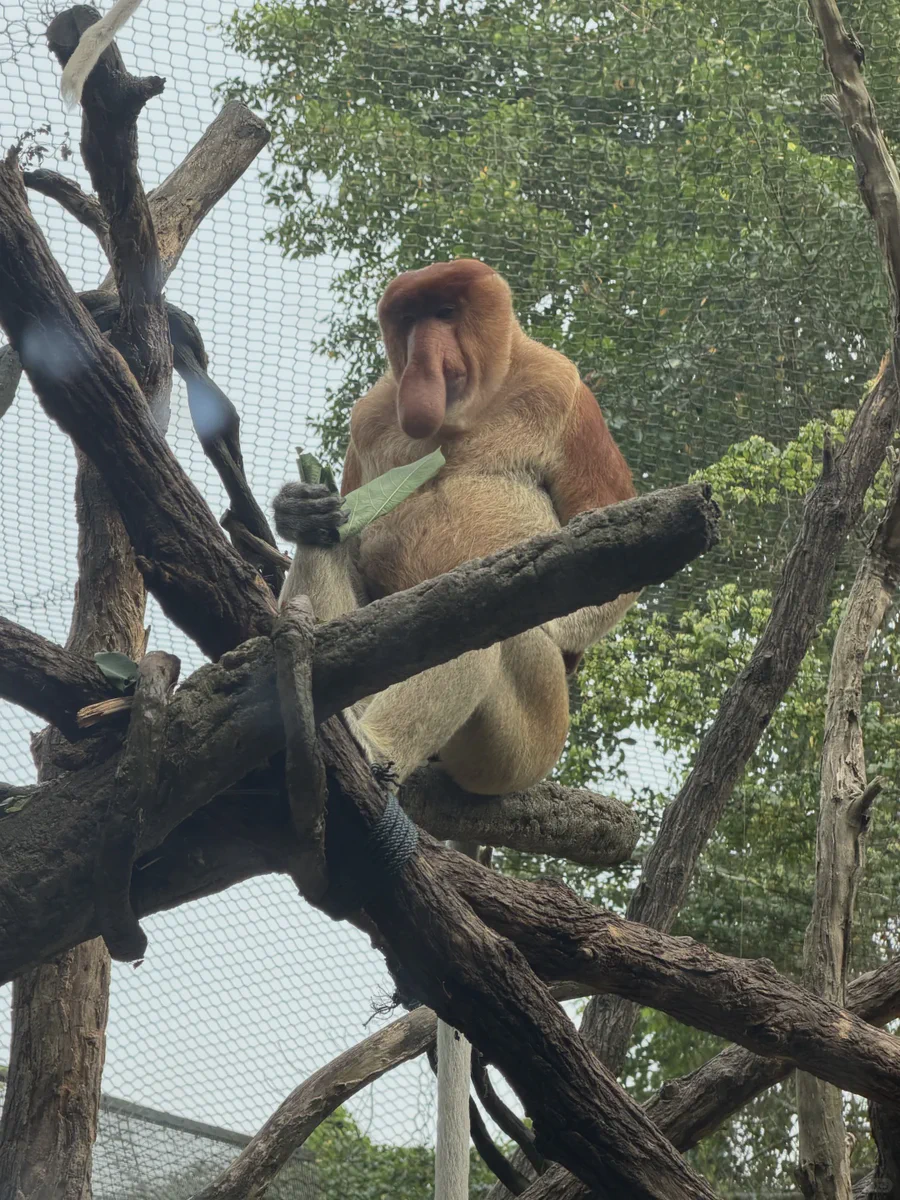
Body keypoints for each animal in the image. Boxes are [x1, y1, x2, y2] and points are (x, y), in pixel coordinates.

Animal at [274, 258, 637, 1200]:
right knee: (343, 573)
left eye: (445, 310)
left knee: (487, 626)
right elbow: (349, 523)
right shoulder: (371, 416)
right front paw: (300, 505)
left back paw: (365, 757)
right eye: (409, 322)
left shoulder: (562, 388)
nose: (424, 358)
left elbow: (606, 532)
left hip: (530, 736)